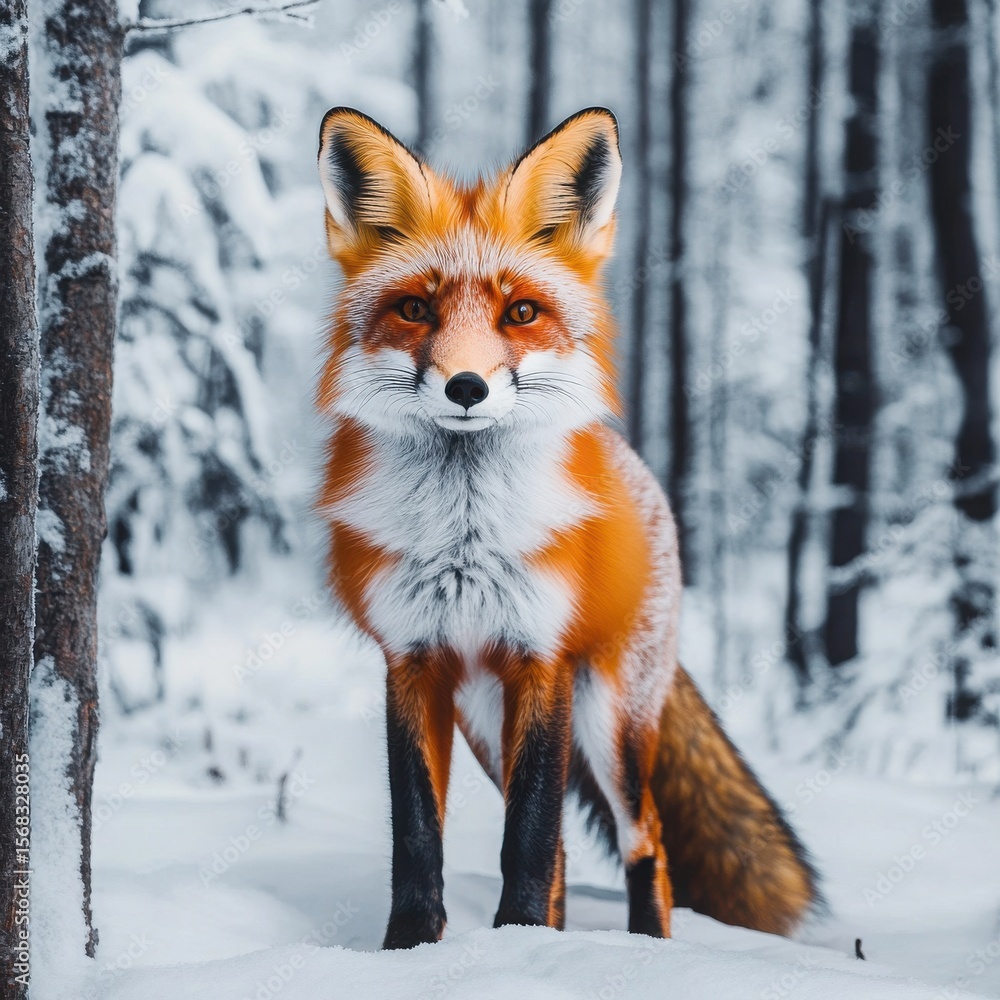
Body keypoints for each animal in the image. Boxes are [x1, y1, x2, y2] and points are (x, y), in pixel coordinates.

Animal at [316, 106, 820, 950]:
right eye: (415, 309)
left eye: (520, 312)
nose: (466, 386)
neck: (465, 539)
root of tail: (633, 465)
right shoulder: (413, 661)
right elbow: (419, 835)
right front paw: (412, 949)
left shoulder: (540, 658)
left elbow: (527, 835)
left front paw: (517, 942)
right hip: (488, 721)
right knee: (561, 855)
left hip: (608, 722)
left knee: (645, 839)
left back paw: (644, 947)